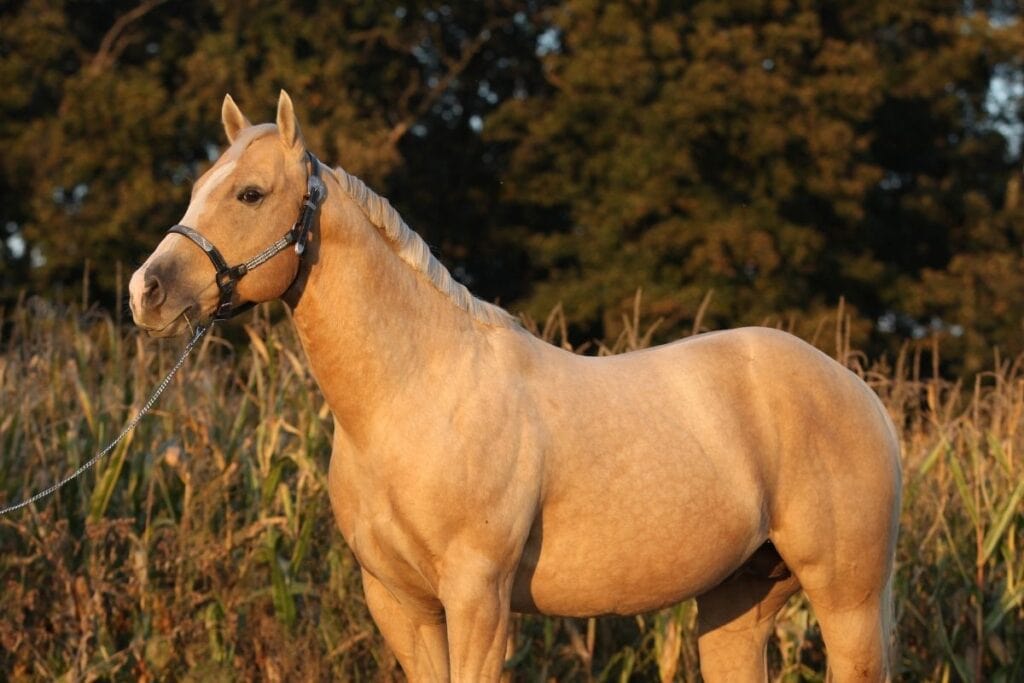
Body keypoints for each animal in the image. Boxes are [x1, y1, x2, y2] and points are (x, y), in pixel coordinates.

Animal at [130, 92, 905, 683]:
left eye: (250, 193)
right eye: (197, 188)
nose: (147, 290)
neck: (414, 396)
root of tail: (861, 394)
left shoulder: (479, 596)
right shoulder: (399, 602)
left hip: (849, 602)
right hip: (737, 603)